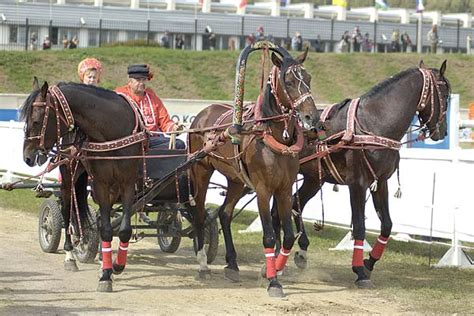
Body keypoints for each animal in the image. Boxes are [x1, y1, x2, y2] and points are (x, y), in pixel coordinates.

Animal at [21, 80, 144, 292]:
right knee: (67, 210)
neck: (112, 132)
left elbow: (124, 229)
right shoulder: (101, 184)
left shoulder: (127, 183)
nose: (27, 156)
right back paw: (70, 256)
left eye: (36, 121)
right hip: (68, 176)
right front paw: (106, 275)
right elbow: (105, 229)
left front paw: (117, 265)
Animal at [188, 48, 318, 296]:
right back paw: (202, 263)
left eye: (308, 79)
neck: (273, 138)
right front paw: (273, 281)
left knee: (225, 214)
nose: (312, 117)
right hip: (200, 171)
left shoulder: (284, 189)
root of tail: (203, 113)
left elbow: (288, 237)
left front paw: (272, 270)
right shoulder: (263, 190)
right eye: (288, 81)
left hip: (236, 180)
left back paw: (232, 263)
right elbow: (269, 235)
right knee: (199, 214)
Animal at [272, 59, 450, 288]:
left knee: (292, 205)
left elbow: (386, 225)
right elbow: (359, 226)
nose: (443, 131)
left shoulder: (380, 183)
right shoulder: (357, 183)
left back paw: (295, 252)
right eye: (445, 94)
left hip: (313, 179)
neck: (373, 124)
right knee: (282, 209)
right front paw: (359, 270)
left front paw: (369, 262)